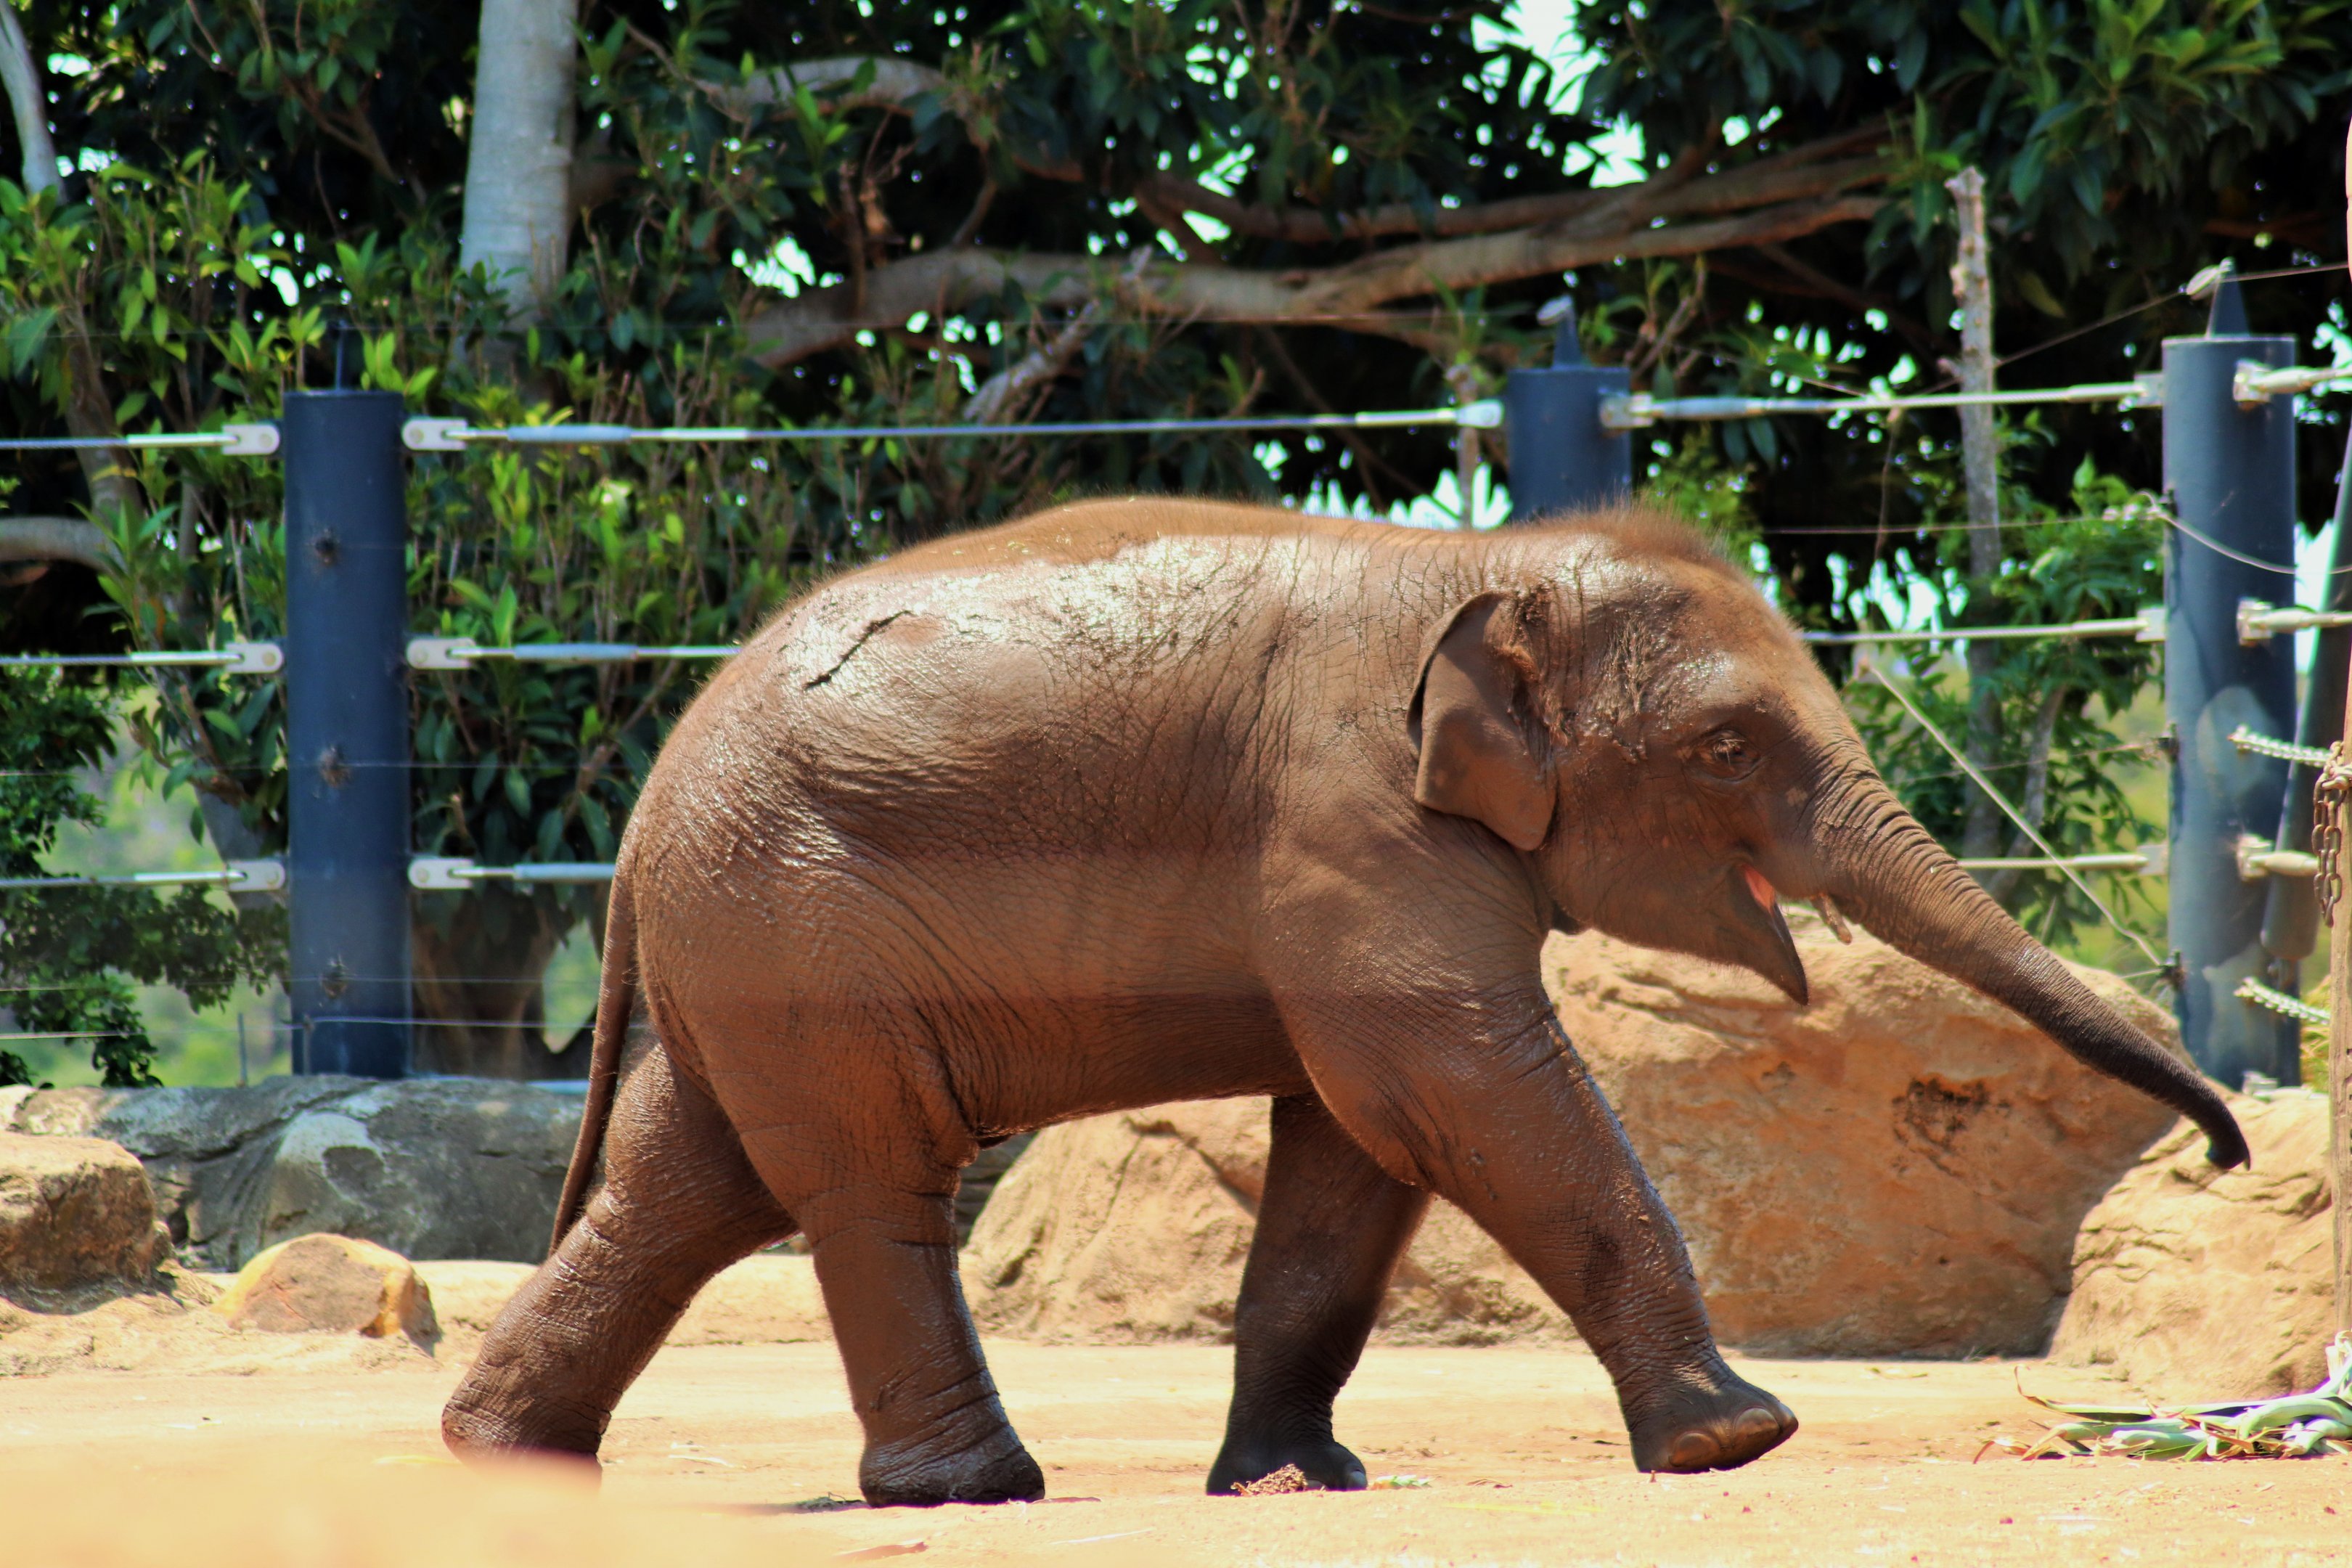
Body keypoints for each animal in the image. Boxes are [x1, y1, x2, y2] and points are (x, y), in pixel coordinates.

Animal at [441, 499, 2245, 1505]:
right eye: (1729, 748)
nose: (2228, 1155)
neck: (1479, 565)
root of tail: (644, 817)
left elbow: (1358, 1150)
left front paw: (1295, 1482)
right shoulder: (1352, 826)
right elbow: (1460, 1092)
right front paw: (1737, 1441)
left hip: (754, 944)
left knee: (691, 1187)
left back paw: (499, 1457)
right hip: (799, 921)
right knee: (870, 1182)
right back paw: (973, 1494)